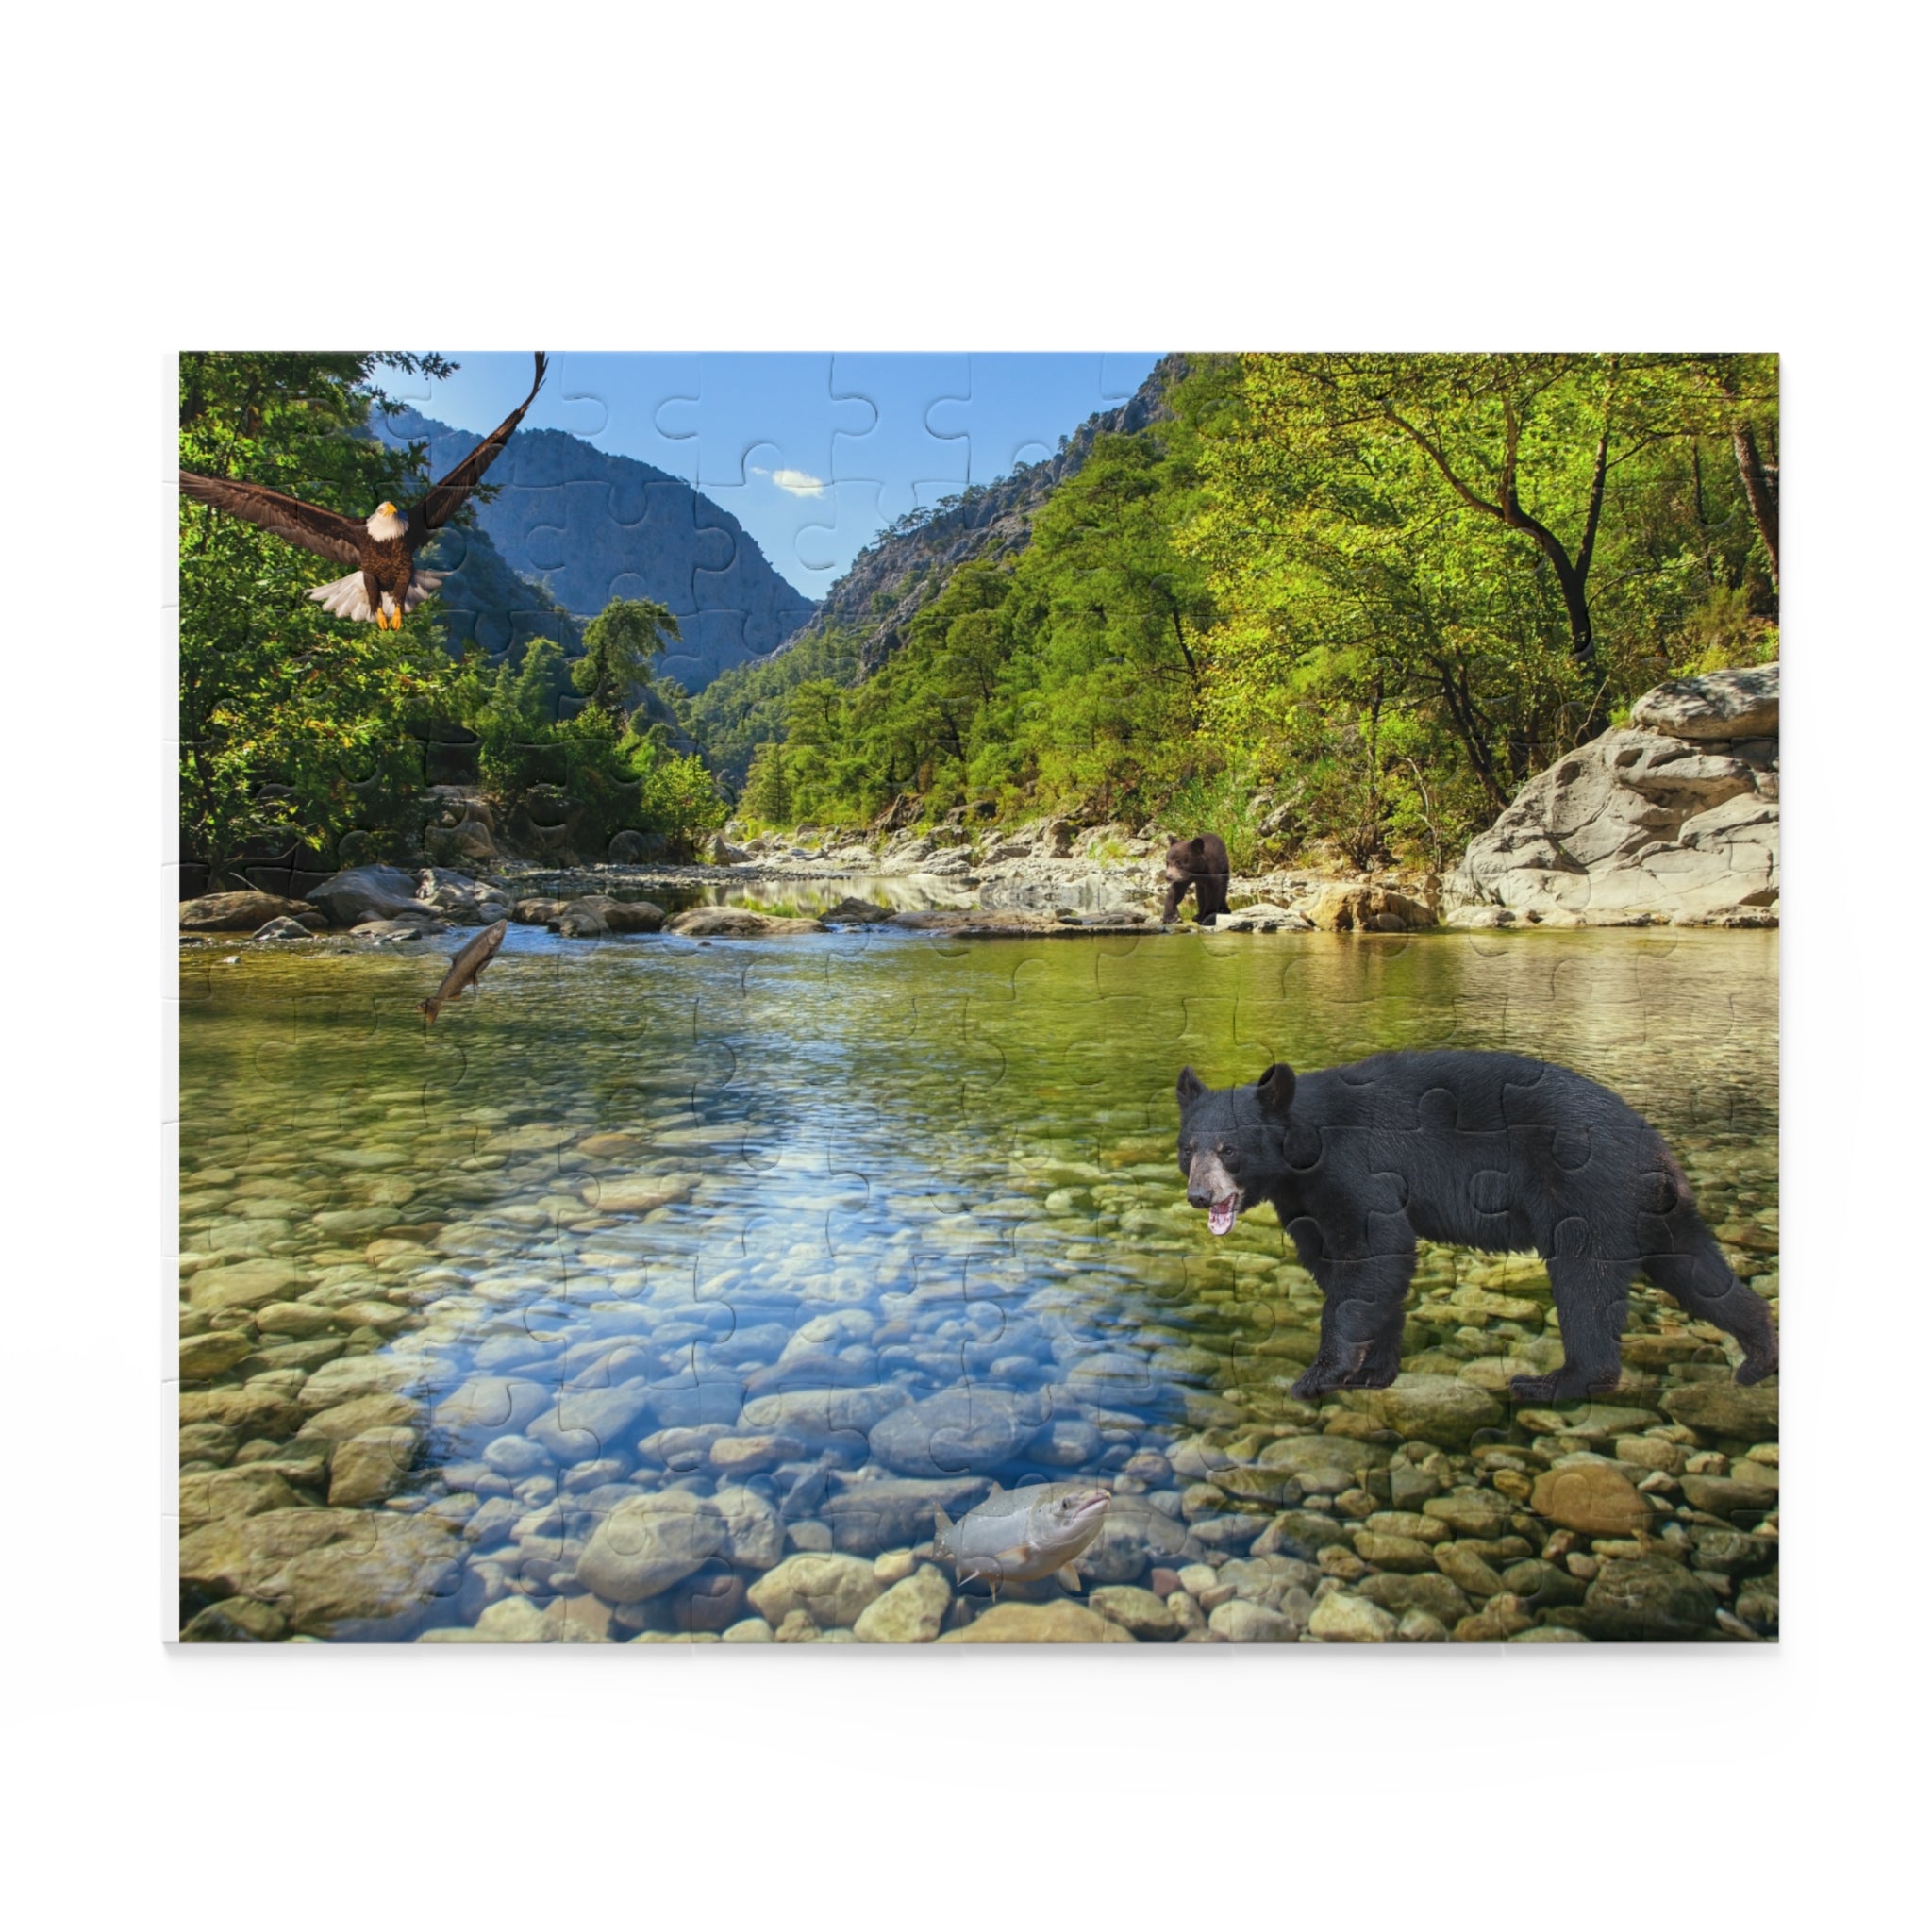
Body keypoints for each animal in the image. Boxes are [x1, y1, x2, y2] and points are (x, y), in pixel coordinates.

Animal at [1174, 1050, 1778, 1402]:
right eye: (1187, 1148)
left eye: (1228, 1149)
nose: (1200, 1196)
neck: (1305, 1146)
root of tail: (1657, 1150)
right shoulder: (1304, 1200)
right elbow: (1351, 1267)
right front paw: (1376, 1369)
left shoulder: (1358, 1168)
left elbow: (1377, 1251)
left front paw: (1320, 1375)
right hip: (1653, 1212)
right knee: (1699, 1272)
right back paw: (1760, 1355)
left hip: (1587, 1193)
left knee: (1585, 1282)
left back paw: (1554, 1383)